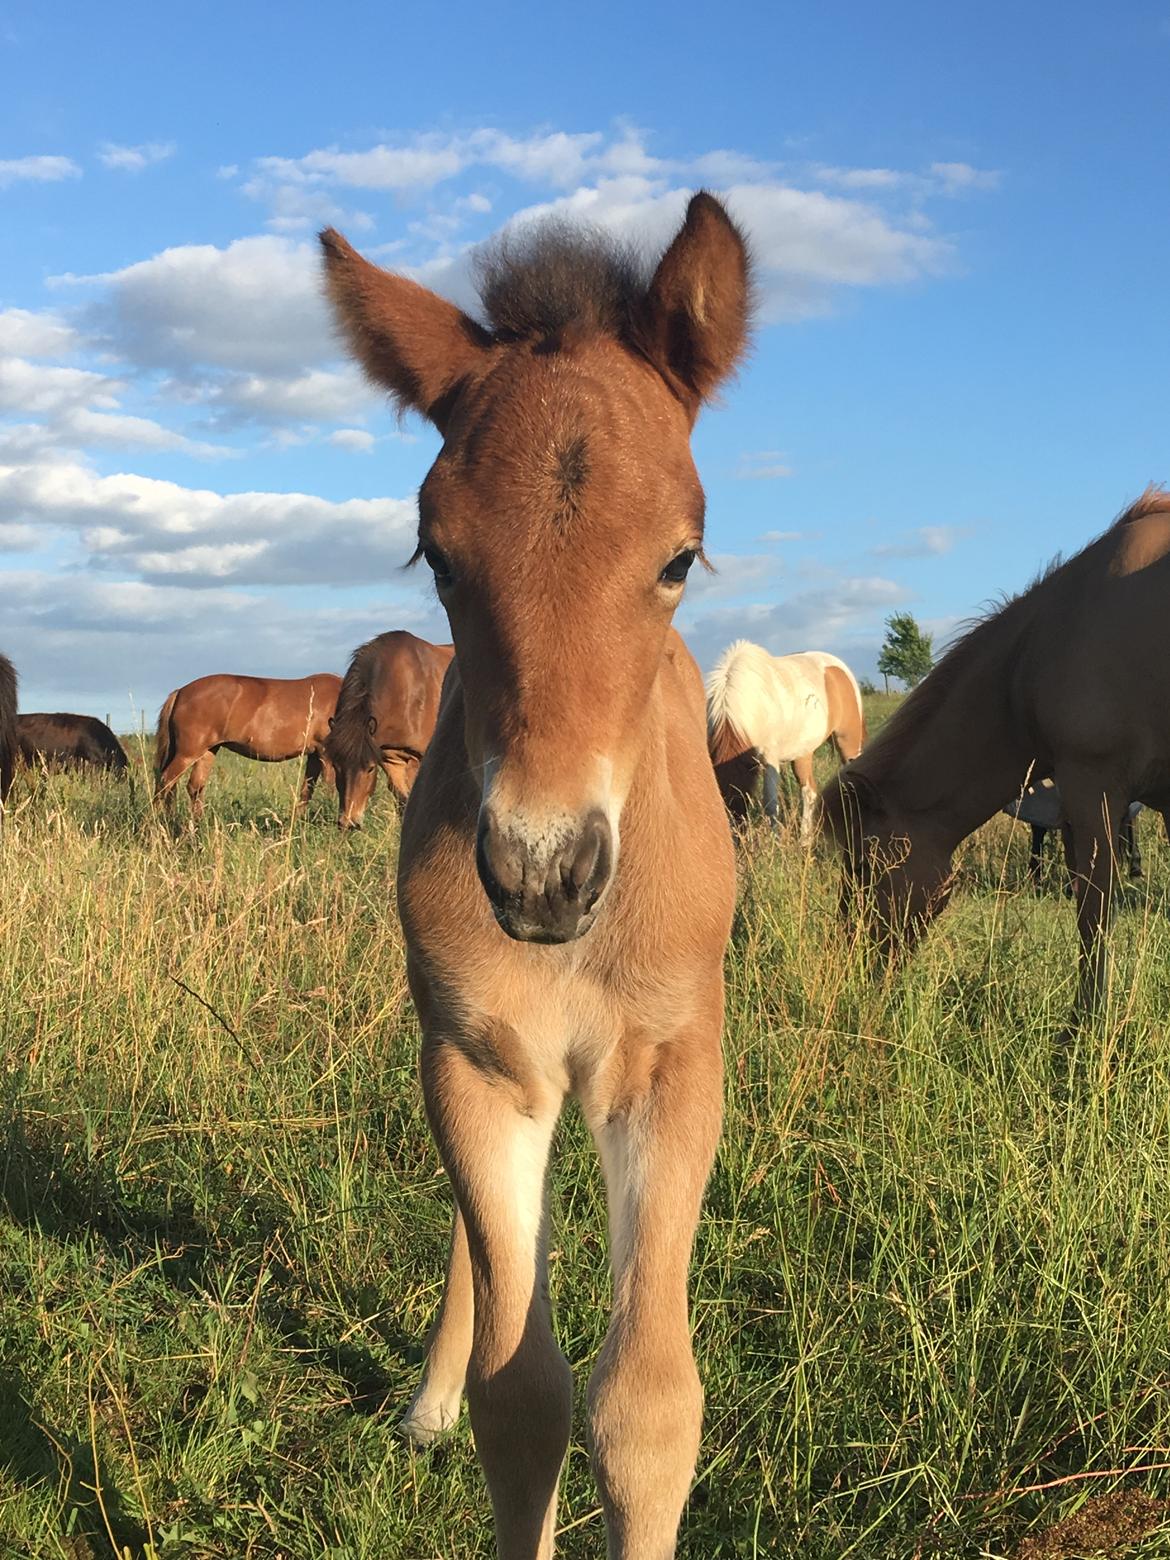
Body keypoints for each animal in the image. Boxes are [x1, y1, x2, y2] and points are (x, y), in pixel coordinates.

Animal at [153, 667, 341, 817]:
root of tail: (180, 692)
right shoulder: (326, 753)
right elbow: (331, 788)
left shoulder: (315, 755)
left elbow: (306, 792)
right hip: (188, 753)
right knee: (165, 782)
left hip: (208, 751)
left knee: (194, 787)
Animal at [330, 630, 461, 836]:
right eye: (336, 766)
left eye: (370, 768)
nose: (348, 823)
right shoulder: (391, 759)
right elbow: (402, 801)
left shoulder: (419, 758)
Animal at [711, 639, 867, 842]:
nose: (738, 842)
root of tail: (840, 668)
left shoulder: (769, 760)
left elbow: (770, 804)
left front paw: (775, 842)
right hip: (803, 753)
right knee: (809, 792)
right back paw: (805, 840)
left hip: (847, 744)